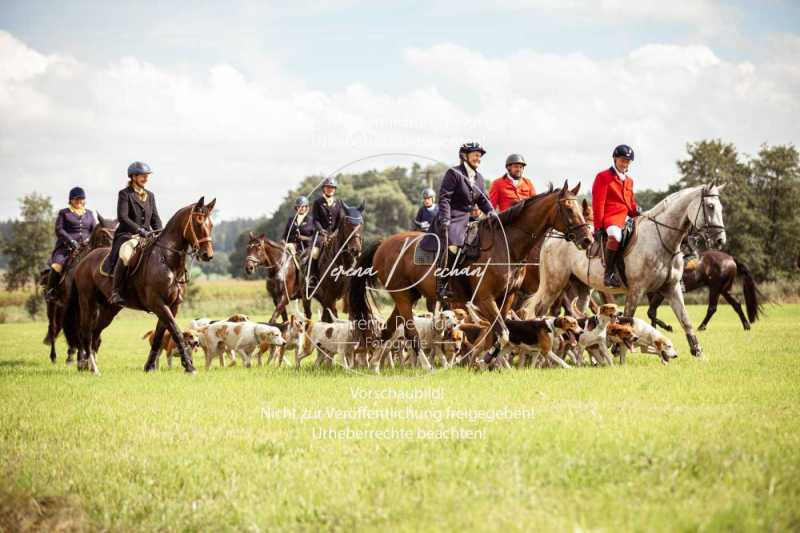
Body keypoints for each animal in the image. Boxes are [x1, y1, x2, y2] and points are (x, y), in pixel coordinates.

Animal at [39, 214, 117, 364]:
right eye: (104, 235)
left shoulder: (95, 306)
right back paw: (54, 356)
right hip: (52, 305)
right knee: (53, 328)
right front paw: (82, 357)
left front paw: (87, 355)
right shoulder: (78, 304)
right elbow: (79, 329)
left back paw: (71, 354)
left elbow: (89, 329)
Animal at [64, 196, 216, 374]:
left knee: (96, 332)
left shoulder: (172, 306)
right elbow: (176, 331)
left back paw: (89, 365)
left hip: (109, 309)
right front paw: (190, 367)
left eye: (211, 225)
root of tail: (83, 260)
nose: (208, 255)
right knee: (86, 333)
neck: (167, 261)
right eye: (198, 223)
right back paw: (91, 367)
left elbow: (159, 336)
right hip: (88, 303)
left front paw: (150, 367)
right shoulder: (158, 303)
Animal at [346, 181, 592, 368]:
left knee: (387, 331)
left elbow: (498, 332)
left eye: (580, 210)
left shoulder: (507, 298)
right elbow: (502, 332)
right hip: (404, 297)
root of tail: (383, 243)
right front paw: (485, 359)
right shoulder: (484, 299)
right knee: (410, 332)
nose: (587, 240)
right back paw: (424, 366)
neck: (506, 245)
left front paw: (489, 361)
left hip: (408, 296)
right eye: (569, 210)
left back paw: (374, 366)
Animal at [532, 183, 724, 358]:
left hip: (580, 288)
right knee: (541, 310)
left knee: (574, 312)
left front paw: (697, 351)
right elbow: (627, 317)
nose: (720, 240)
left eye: (720, 207)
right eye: (710, 206)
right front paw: (618, 347)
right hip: (554, 284)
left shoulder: (672, 288)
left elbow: (685, 320)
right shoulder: (636, 289)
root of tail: (553, 237)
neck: (661, 239)